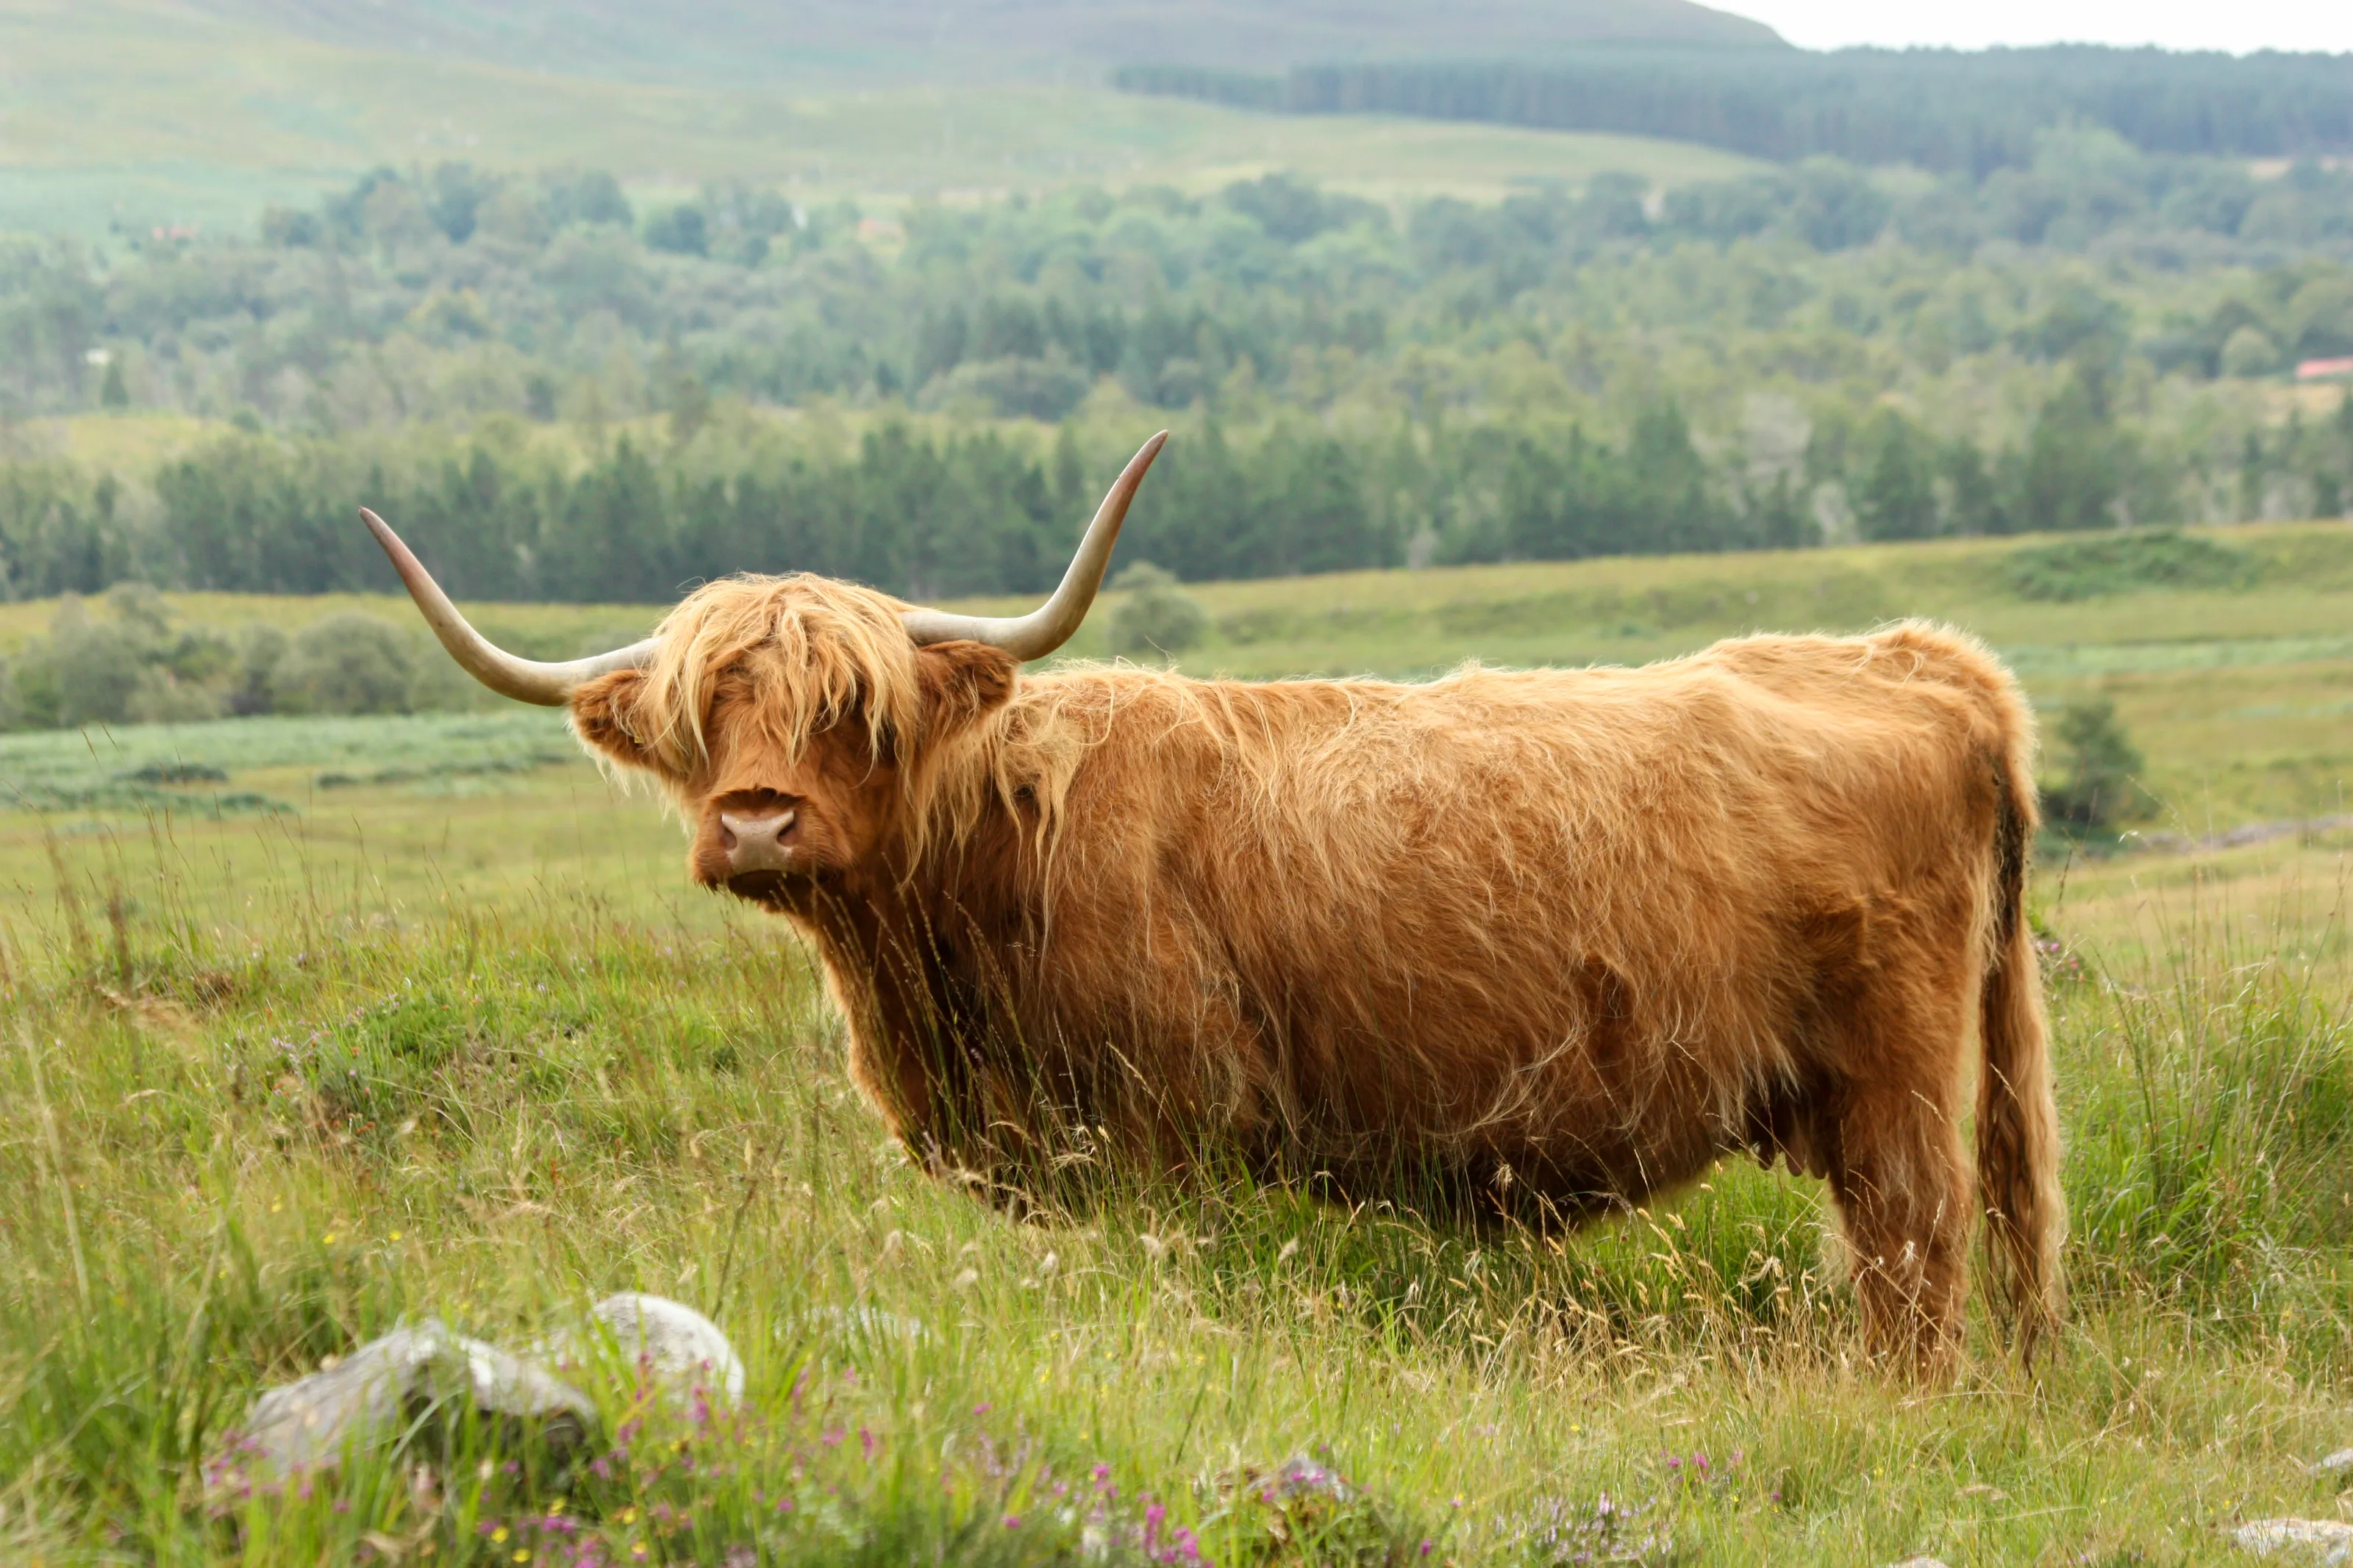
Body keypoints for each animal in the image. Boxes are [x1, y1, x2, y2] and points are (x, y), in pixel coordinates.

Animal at [361, 432, 2064, 1368]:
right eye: (705, 713)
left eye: (858, 710)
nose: (759, 820)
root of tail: (1922, 659)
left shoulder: (1165, 1138)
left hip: (1895, 1083)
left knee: (1916, 1264)